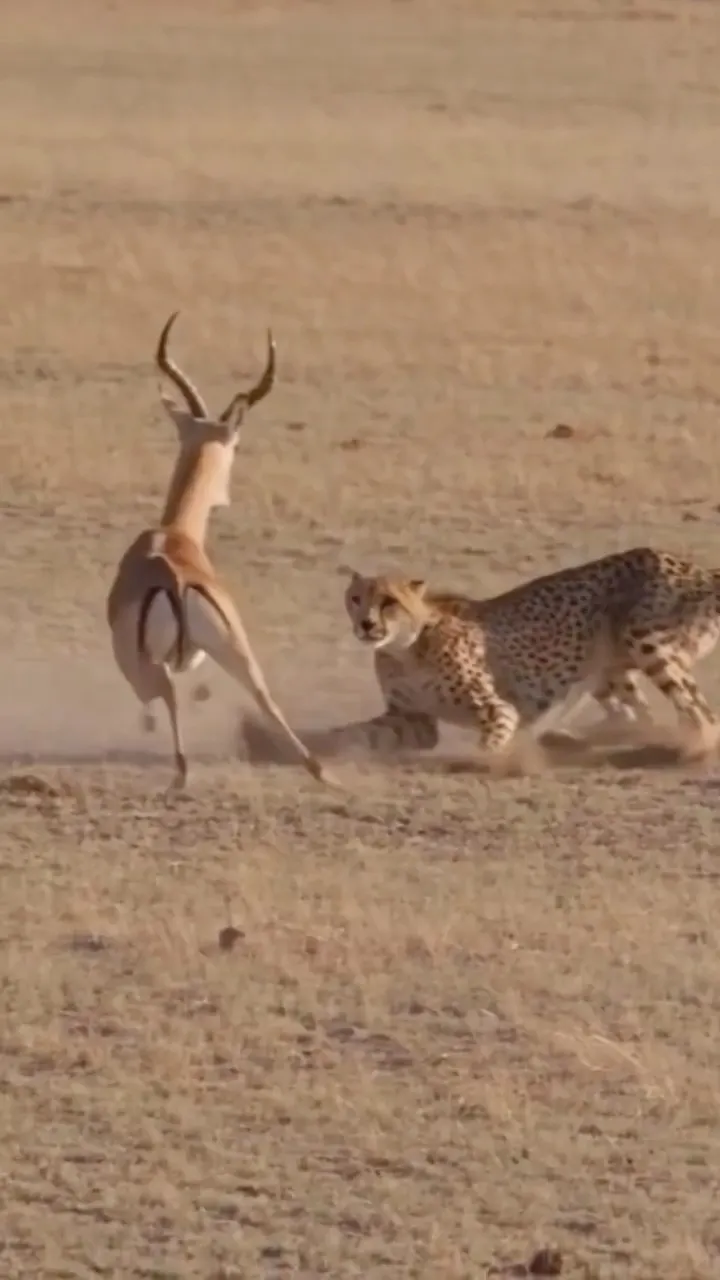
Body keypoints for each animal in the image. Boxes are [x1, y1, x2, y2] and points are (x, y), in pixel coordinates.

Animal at [106, 311, 335, 791]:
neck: (175, 535)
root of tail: (173, 578)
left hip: (151, 665)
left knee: (168, 695)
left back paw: (181, 772)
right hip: (235, 649)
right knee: (263, 696)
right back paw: (319, 770)